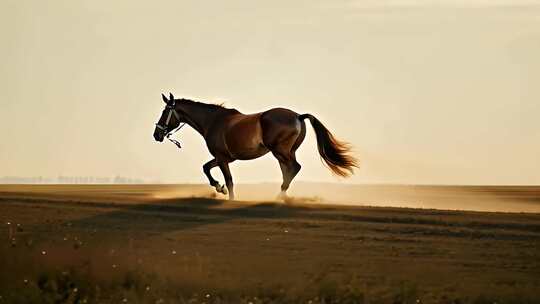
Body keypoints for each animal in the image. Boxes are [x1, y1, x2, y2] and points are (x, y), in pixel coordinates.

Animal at [153, 94, 358, 201]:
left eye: (165, 112)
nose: (157, 134)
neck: (213, 121)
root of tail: (298, 116)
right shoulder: (224, 158)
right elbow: (206, 168)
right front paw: (219, 188)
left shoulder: (222, 158)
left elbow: (228, 179)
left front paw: (227, 194)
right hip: (285, 153)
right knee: (288, 171)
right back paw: (281, 196)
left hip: (280, 151)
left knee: (294, 168)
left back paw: (278, 197)